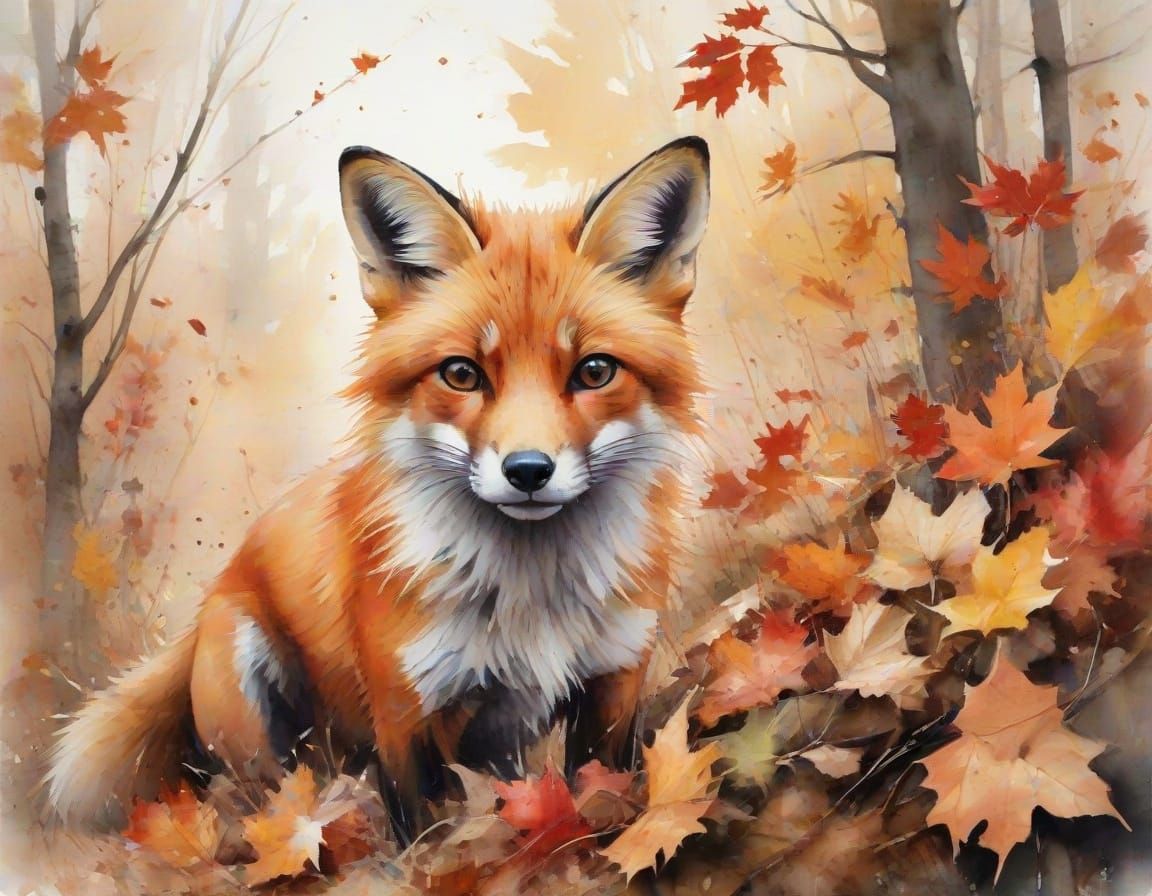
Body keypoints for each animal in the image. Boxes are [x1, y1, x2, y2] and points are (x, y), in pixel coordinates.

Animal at [45, 135, 711, 836]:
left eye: (594, 370)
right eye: (461, 374)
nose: (528, 471)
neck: (533, 597)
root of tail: (205, 610)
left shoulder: (614, 684)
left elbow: (602, 798)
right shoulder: (405, 712)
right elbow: (425, 832)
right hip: (253, 704)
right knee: (269, 800)